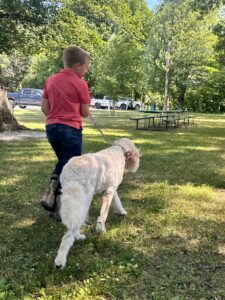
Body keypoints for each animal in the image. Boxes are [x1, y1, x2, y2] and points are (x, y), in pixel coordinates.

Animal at [54, 138, 139, 268]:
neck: (120, 149)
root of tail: (73, 171)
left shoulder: (112, 189)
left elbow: (118, 200)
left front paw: (122, 211)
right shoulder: (109, 192)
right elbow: (103, 214)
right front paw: (101, 230)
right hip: (84, 201)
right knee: (69, 234)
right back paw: (61, 260)